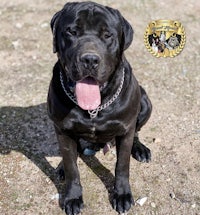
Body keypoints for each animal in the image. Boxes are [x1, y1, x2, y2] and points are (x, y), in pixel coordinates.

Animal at [47, 2, 152, 215]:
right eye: (72, 31)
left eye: (107, 35)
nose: (89, 59)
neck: (95, 109)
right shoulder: (62, 130)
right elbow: (72, 168)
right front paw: (72, 197)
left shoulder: (125, 130)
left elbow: (122, 165)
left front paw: (122, 195)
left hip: (146, 103)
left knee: (136, 132)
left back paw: (140, 149)